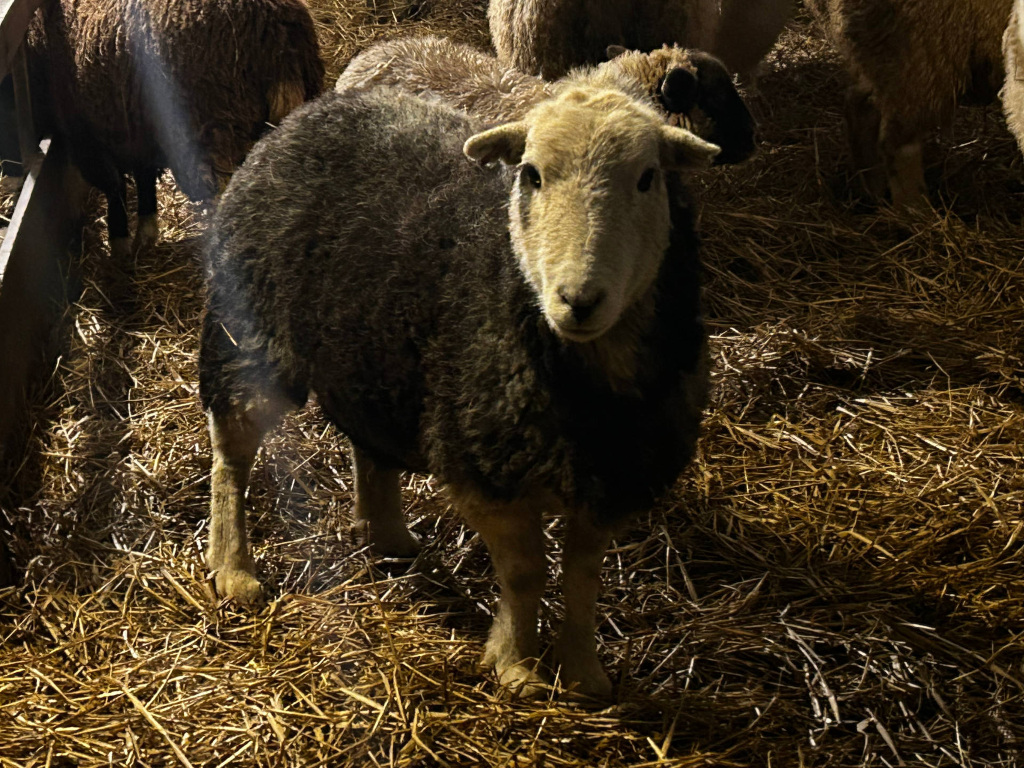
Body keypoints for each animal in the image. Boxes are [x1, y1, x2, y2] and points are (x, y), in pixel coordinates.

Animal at [25, 0, 324, 267]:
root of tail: (277, 34)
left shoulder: (84, 134)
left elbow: (114, 186)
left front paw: (119, 244)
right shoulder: (138, 126)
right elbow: (143, 176)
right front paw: (145, 233)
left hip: (218, 130)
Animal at [199, 82, 717, 697]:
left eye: (648, 178)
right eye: (531, 174)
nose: (579, 300)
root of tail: (320, 108)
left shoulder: (620, 476)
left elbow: (582, 576)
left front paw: (584, 673)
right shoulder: (484, 471)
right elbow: (526, 572)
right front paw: (516, 665)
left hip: (373, 353)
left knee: (366, 443)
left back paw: (387, 534)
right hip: (249, 334)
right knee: (232, 451)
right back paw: (233, 567)